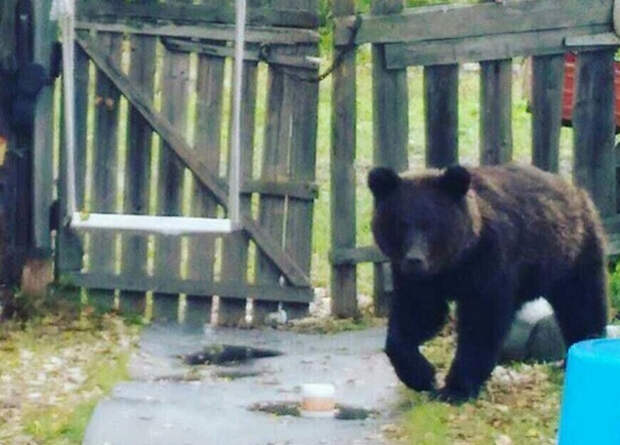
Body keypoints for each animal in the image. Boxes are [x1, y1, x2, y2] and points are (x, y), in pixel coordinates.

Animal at [370, 164, 608, 402]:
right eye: (401, 224)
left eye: (431, 225)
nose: (414, 260)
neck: (454, 263)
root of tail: (574, 189)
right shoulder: (419, 280)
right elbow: (416, 315)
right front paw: (422, 375)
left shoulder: (490, 260)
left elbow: (481, 320)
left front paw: (454, 389)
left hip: (573, 253)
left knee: (582, 305)